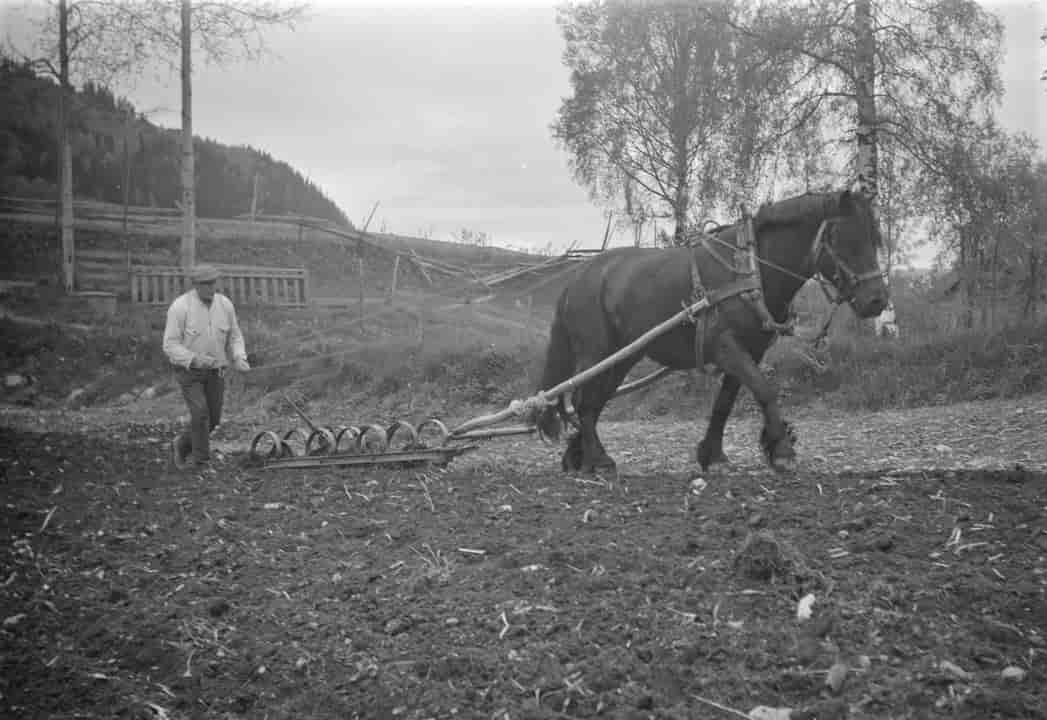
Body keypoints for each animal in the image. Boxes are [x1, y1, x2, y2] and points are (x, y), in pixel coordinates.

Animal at [536, 188, 887, 475]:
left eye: (875, 237)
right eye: (843, 237)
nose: (877, 300)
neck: (749, 269)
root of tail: (579, 277)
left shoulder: (750, 350)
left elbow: (725, 403)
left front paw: (713, 454)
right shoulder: (725, 346)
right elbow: (764, 390)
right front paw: (782, 450)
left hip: (622, 357)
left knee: (593, 402)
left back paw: (579, 457)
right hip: (596, 352)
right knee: (583, 401)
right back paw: (598, 459)